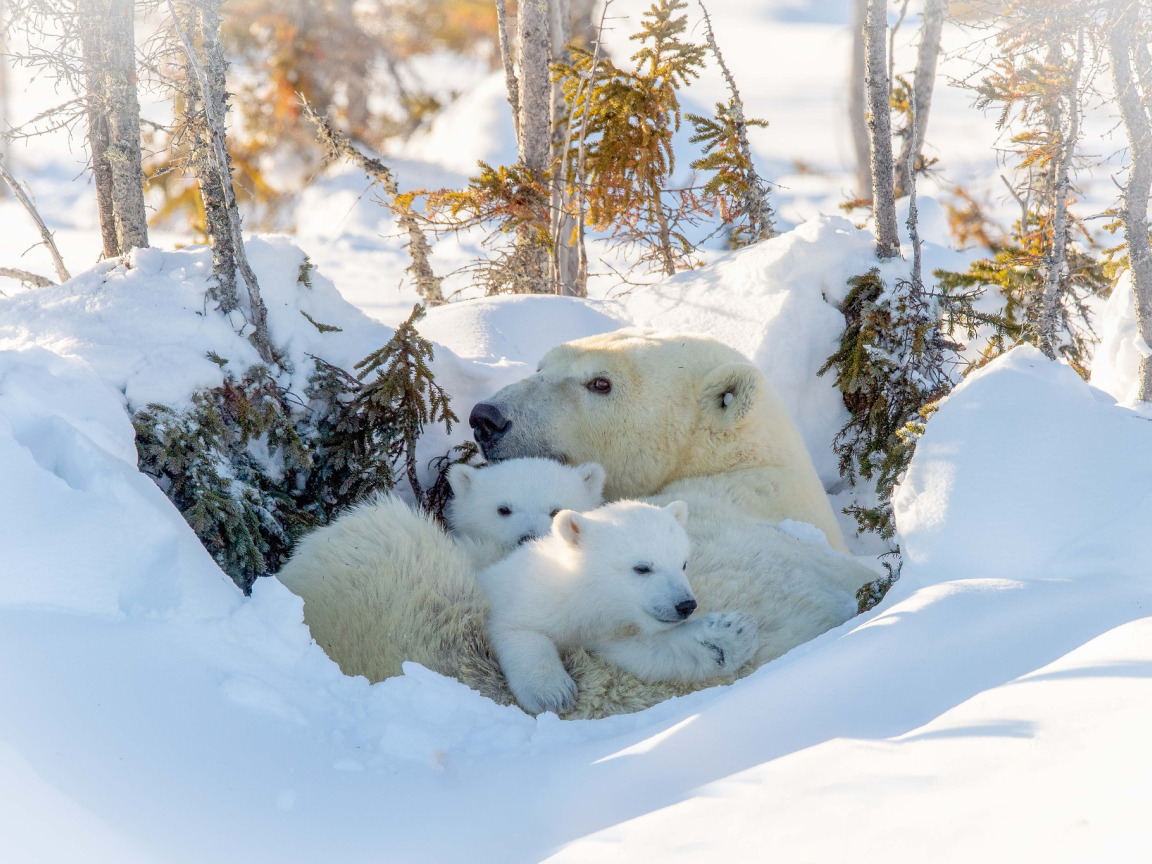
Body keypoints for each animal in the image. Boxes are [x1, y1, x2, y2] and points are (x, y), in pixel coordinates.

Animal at [481, 499, 760, 718]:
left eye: (683, 563)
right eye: (642, 568)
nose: (686, 605)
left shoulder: (610, 631)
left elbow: (643, 653)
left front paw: (728, 637)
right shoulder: (531, 596)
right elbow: (514, 628)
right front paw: (552, 692)